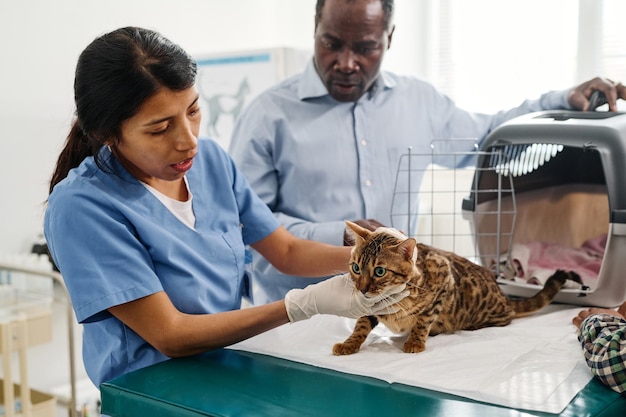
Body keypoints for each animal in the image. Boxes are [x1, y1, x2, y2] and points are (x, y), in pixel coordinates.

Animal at [334, 219, 584, 352]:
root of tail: (503, 295)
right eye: (356, 268)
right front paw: (349, 343)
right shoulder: (370, 306)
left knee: (507, 317)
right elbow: (361, 324)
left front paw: (415, 341)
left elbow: (424, 319)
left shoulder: (444, 277)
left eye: (379, 271)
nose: (362, 289)